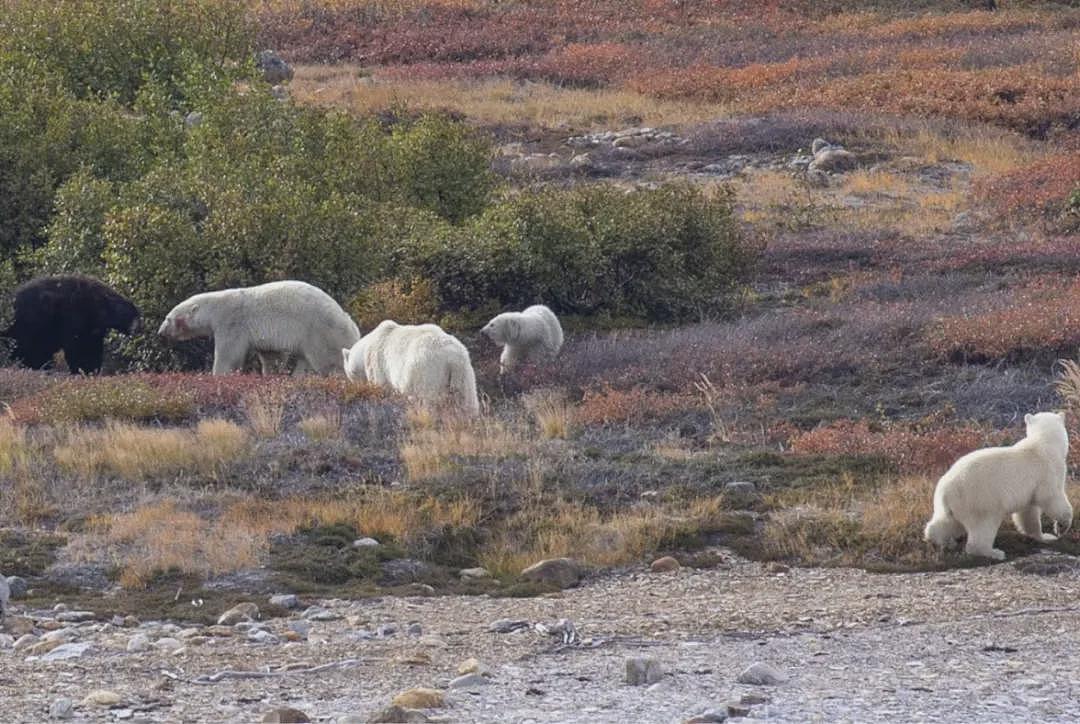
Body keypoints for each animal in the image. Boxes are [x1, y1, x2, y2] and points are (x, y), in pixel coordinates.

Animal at [1, 275, 141, 374]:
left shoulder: (94, 328)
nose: (138, 329)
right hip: (30, 322)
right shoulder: (75, 314)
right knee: (27, 347)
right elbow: (77, 345)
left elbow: (91, 346)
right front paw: (81, 369)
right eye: (134, 316)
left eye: (137, 316)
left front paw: (91, 369)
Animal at [158, 280, 360, 376]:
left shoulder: (231, 322)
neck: (214, 307)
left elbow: (228, 356)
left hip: (320, 331)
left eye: (168, 318)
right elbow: (271, 355)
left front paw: (217, 375)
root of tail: (353, 327)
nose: (160, 332)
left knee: (328, 361)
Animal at [342, 320, 479, 415]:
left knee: (428, 402)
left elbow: (381, 388)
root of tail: (453, 360)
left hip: (428, 372)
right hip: (465, 375)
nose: (355, 387)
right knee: (468, 403)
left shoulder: (377, 364)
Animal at [924, 411, 1073, 561]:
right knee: (984, 526)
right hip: (980, 500)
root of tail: (945, 491)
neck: (1043, 442)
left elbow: (1028, 512)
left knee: (946, 523)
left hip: (954, 506)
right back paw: (994, 552)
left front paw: (1043, 536)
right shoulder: (1048, 471)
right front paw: (1061, 528)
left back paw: (939, 540)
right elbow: (1052, 498)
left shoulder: (1028, 489)